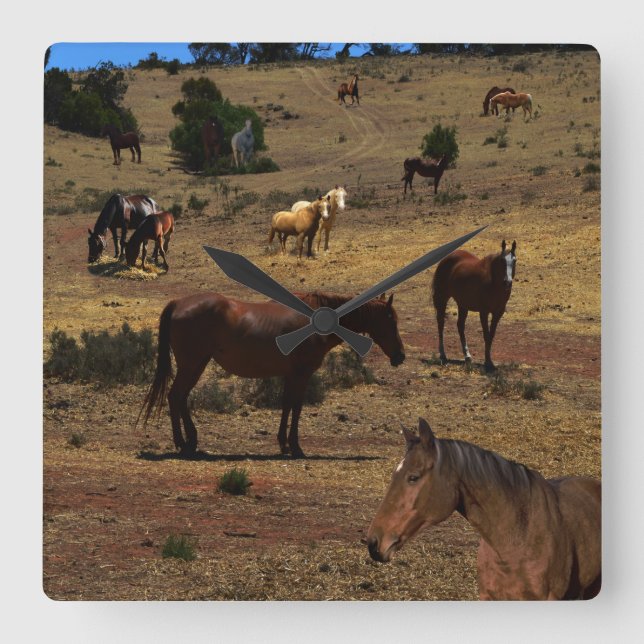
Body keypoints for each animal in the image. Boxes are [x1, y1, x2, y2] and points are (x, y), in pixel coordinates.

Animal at [140, 291, 405, 458]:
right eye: (391, 321)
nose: (400, 356)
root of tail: (178, 303)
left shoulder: (290, 375)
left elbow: (286, 405)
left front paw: (283, 444)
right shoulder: (301, 374)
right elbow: (296, 407)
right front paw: (295, 447)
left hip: (197, 365)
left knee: (181, 398)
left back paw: (191, 441)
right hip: (192, 364)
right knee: (176, 397)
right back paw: (183, 443)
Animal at [432, 240, 517, 372]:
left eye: (514, 261)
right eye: (502, 260)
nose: (507, 282)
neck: (493, 283)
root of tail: (446, 258)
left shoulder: (498, 313)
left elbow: (491, 336)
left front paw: (489, 361)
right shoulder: (484, 312)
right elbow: (486, 335)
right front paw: (488, 362)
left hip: (463, 305)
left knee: (460, 326)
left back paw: (467, 356)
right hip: (442, 299)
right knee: (441, 324)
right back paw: (443, 354)